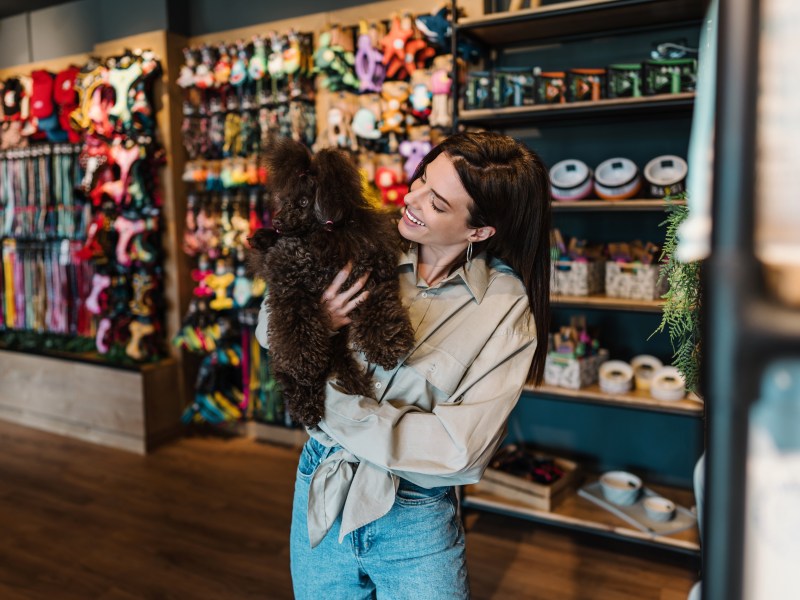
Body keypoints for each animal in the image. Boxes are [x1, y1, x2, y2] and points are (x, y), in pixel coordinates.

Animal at [248, 137, 412, 426]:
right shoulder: (291, 288)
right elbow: (297, 331)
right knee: (294, 377)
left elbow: (380, 310)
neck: (317, 240)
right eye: (284, 200)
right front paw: (301, 362)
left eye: (304, 201)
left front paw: (387, 346)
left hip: (337, 346)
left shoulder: (370, 277)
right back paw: (306, 406)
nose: (276, 221)